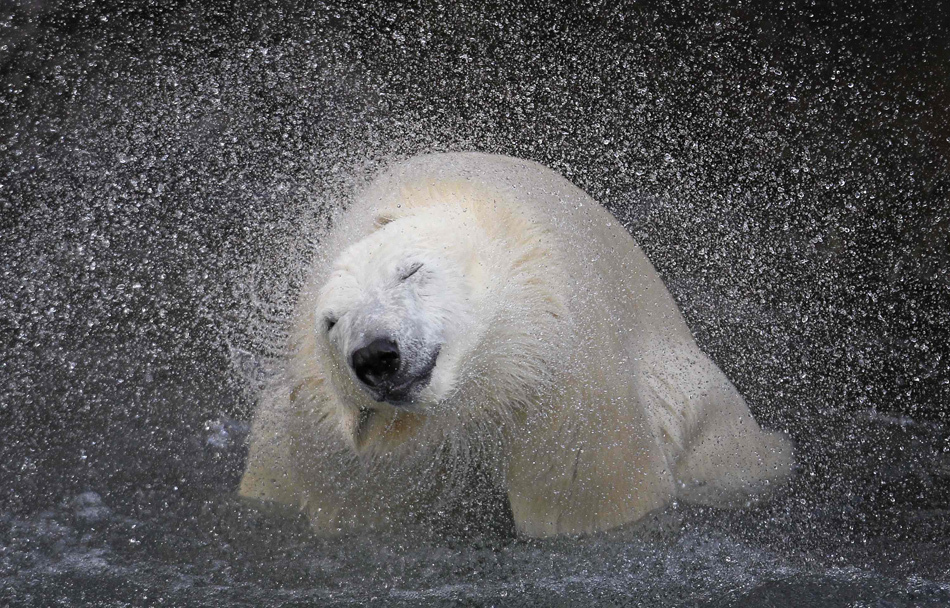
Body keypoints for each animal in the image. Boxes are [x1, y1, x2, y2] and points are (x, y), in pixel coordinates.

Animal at [239, 152, 793, 538]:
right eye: (331, 322)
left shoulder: (561, 368)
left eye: (411, 271)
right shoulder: (328, 434)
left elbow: (590, 492)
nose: (375, 354)